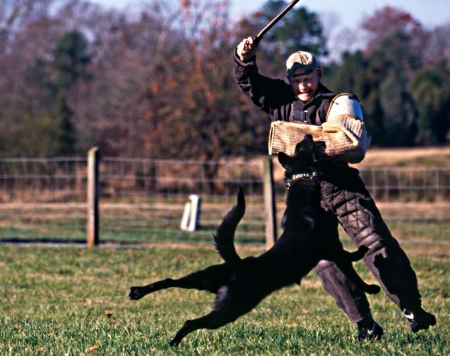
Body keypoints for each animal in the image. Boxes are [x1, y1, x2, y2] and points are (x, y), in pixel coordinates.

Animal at [130, 136, 380, 344]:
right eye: (304, 147)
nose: (309, 135)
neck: (302, 192)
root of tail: (237, 266)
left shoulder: (331, 253)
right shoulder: (332, 249)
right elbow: (353, 267)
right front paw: (369, 278)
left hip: (205, 278)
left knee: (171, 280)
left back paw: (138, 292)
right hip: (230, 308)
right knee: (192, 321)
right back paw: (174, 341)